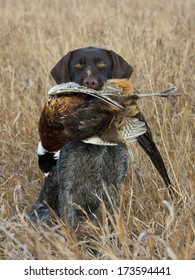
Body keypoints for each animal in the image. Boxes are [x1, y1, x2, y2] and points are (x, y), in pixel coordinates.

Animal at [30, 46, 134, 228]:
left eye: (102, 63)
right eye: (77, 64)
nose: (90, 83)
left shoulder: (115, 186)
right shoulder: (68, 187)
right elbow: (70, 224)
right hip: (45, 214)